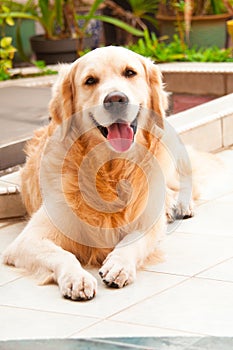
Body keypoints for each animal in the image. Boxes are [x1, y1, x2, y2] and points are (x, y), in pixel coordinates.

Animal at [3, 45, 231, 300]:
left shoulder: (146, 222)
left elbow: (134, 241)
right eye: (90, 80)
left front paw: (119, 264)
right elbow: (61, 254)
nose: (116, 99)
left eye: (130, 72)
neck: (111, 170)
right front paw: (77, 277)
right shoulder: (28, 240)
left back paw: (180, 204)